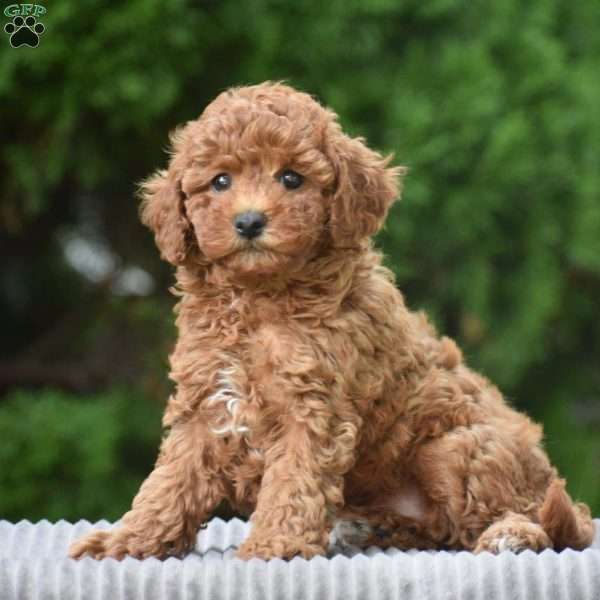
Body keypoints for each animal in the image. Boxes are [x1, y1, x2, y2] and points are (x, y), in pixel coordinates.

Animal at [68, 82, 592, 560]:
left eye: (291, 178)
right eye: (219, 181)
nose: (249, 222)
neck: (259, 300)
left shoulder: (311, 406)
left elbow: (293, 481)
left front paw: (274, 546)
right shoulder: (205, 401)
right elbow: (170, 481)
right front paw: (126, 541)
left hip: (455, 449)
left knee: (522, 518)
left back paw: (510, 534)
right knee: (444, 529)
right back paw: (372, 529)